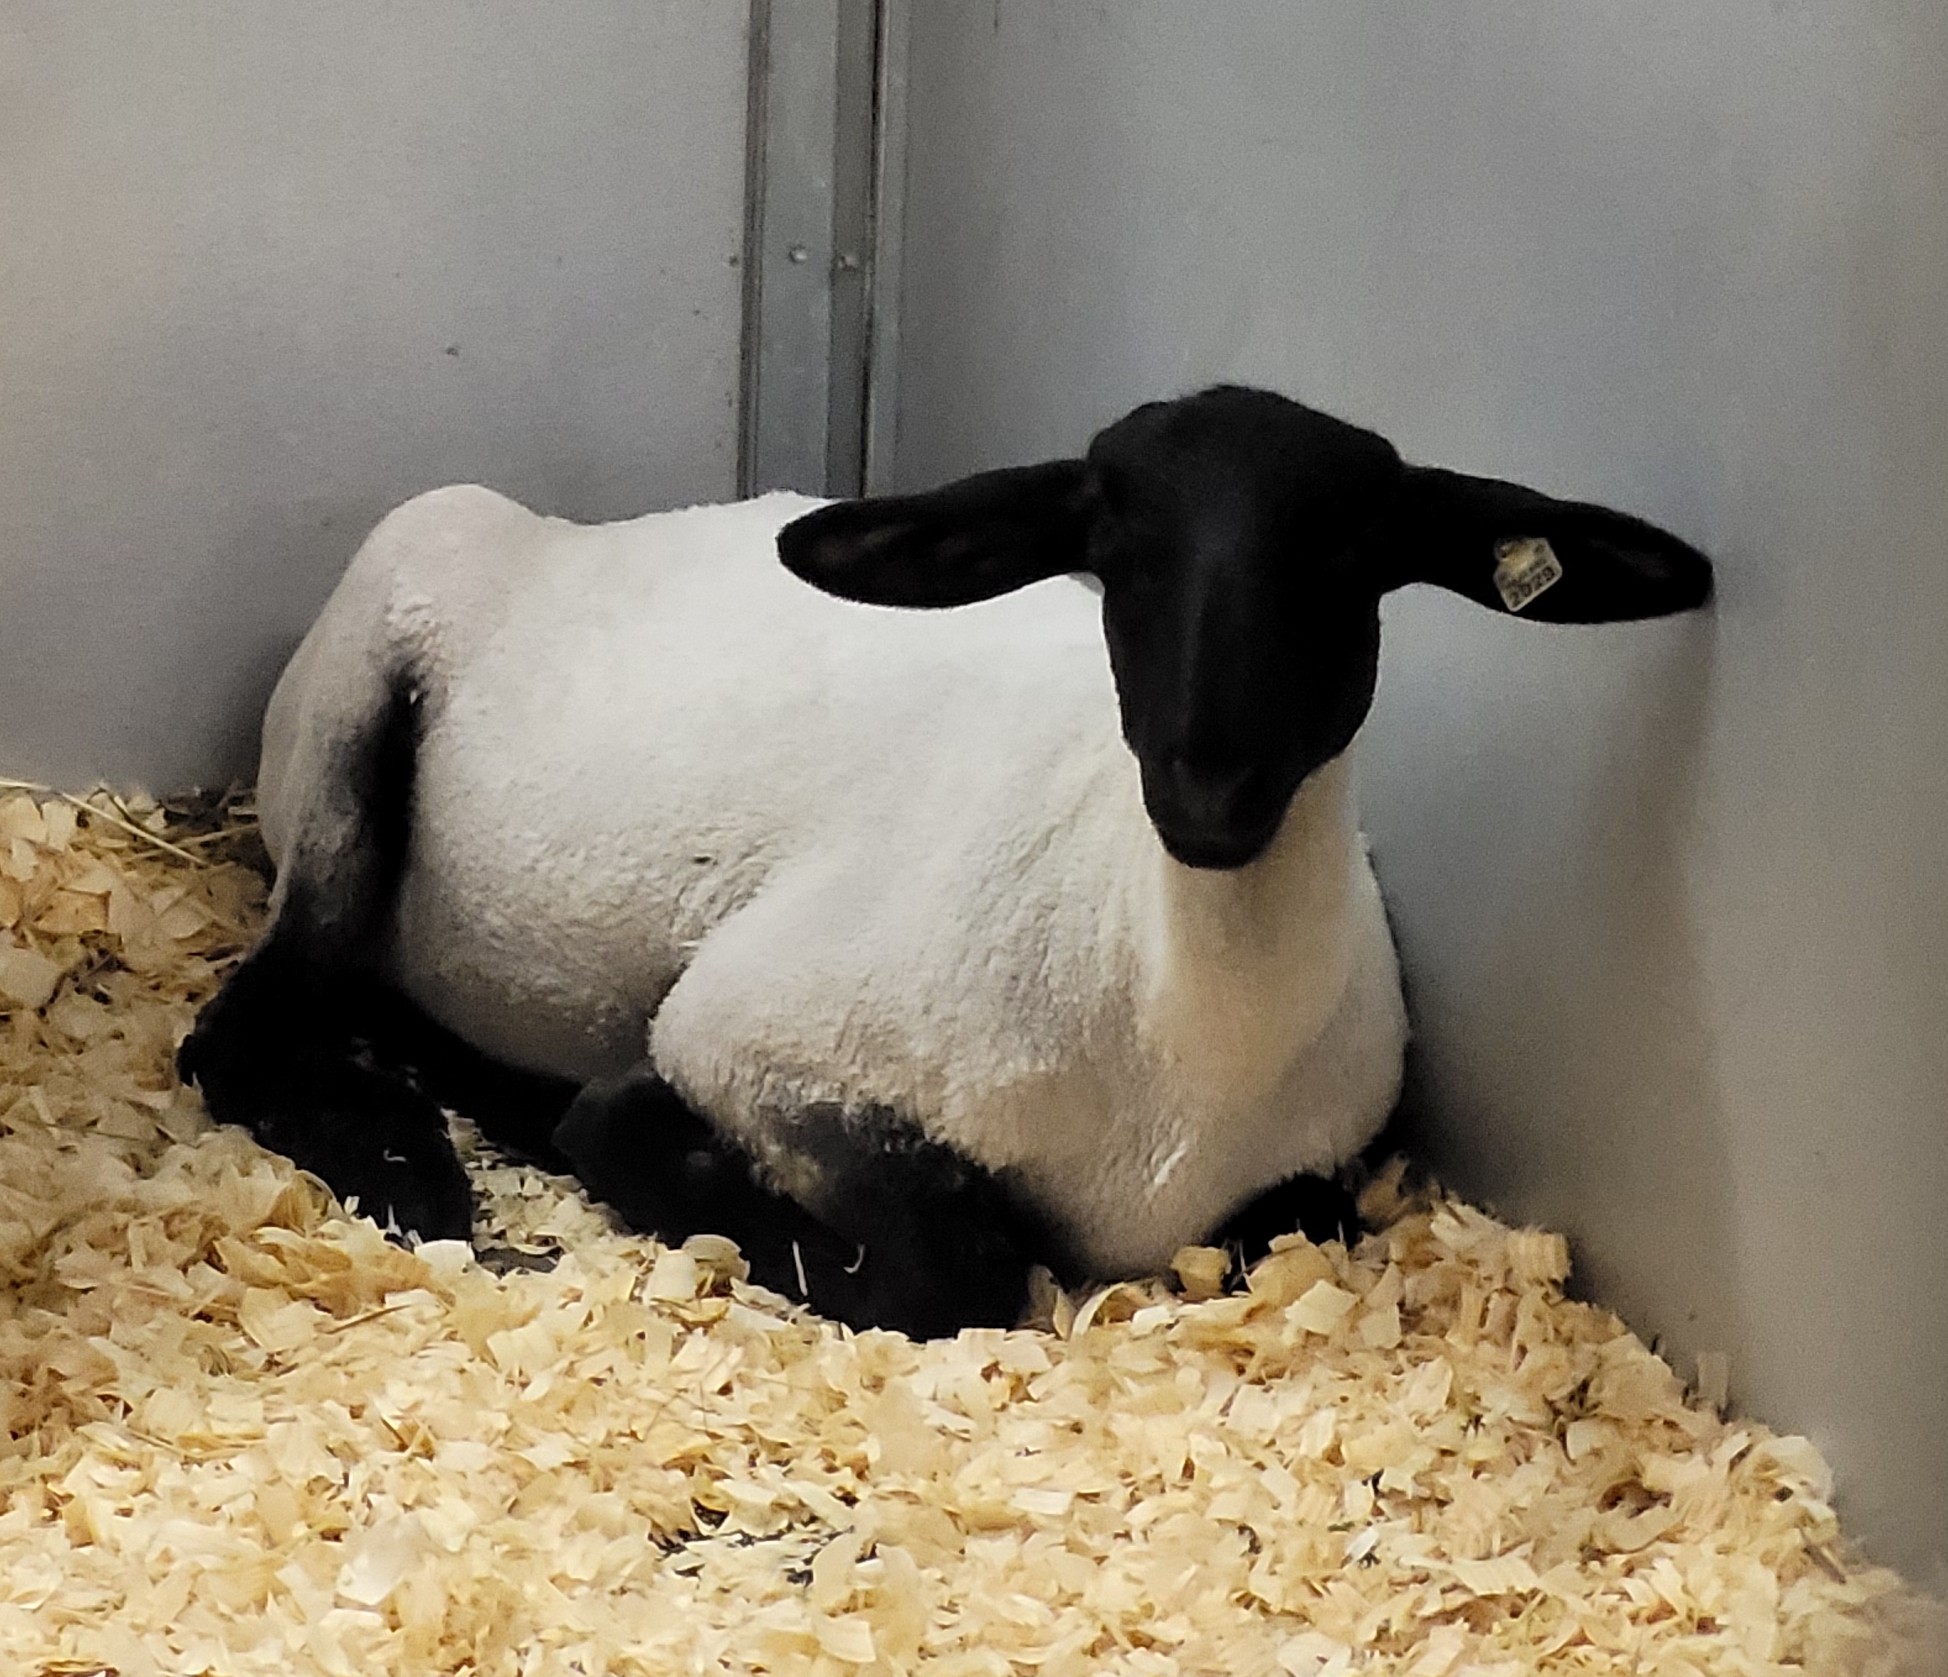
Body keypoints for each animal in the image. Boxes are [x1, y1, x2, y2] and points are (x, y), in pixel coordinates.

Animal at [177, 385, 1712, 1337]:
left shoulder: (1312, 1179)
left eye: (1354, 557)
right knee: (242, 1023)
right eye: (1116, 547)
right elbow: (947, 1264)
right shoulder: (751, 1035)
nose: (1210, 787)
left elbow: (1282, 1230)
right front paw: (659, 1163)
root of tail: (565, 534)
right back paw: (409, 1158)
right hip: (352, 720)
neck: (1178, 1021)